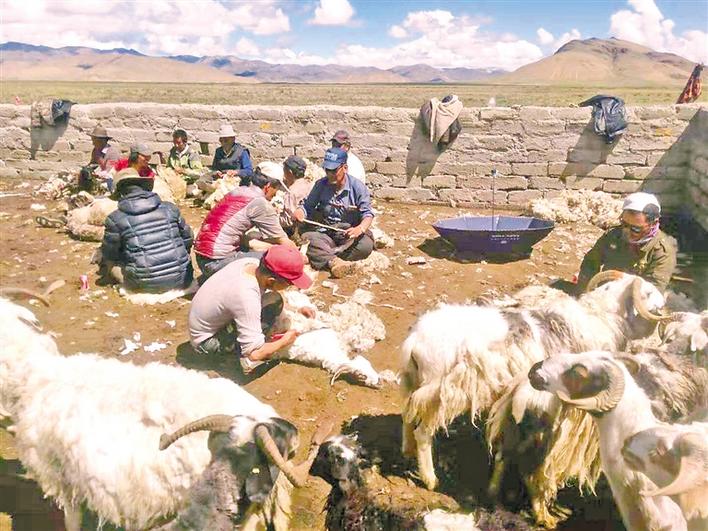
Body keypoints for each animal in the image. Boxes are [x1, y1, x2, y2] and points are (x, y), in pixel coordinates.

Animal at [400, 271, 667, 494]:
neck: (600, 319)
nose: (664, 305)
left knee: (407, 415)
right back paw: (430, 479)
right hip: (441, 393)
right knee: (423, 432)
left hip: (414, 382)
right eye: (648, 292)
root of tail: (416, 340)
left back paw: (406, 450)